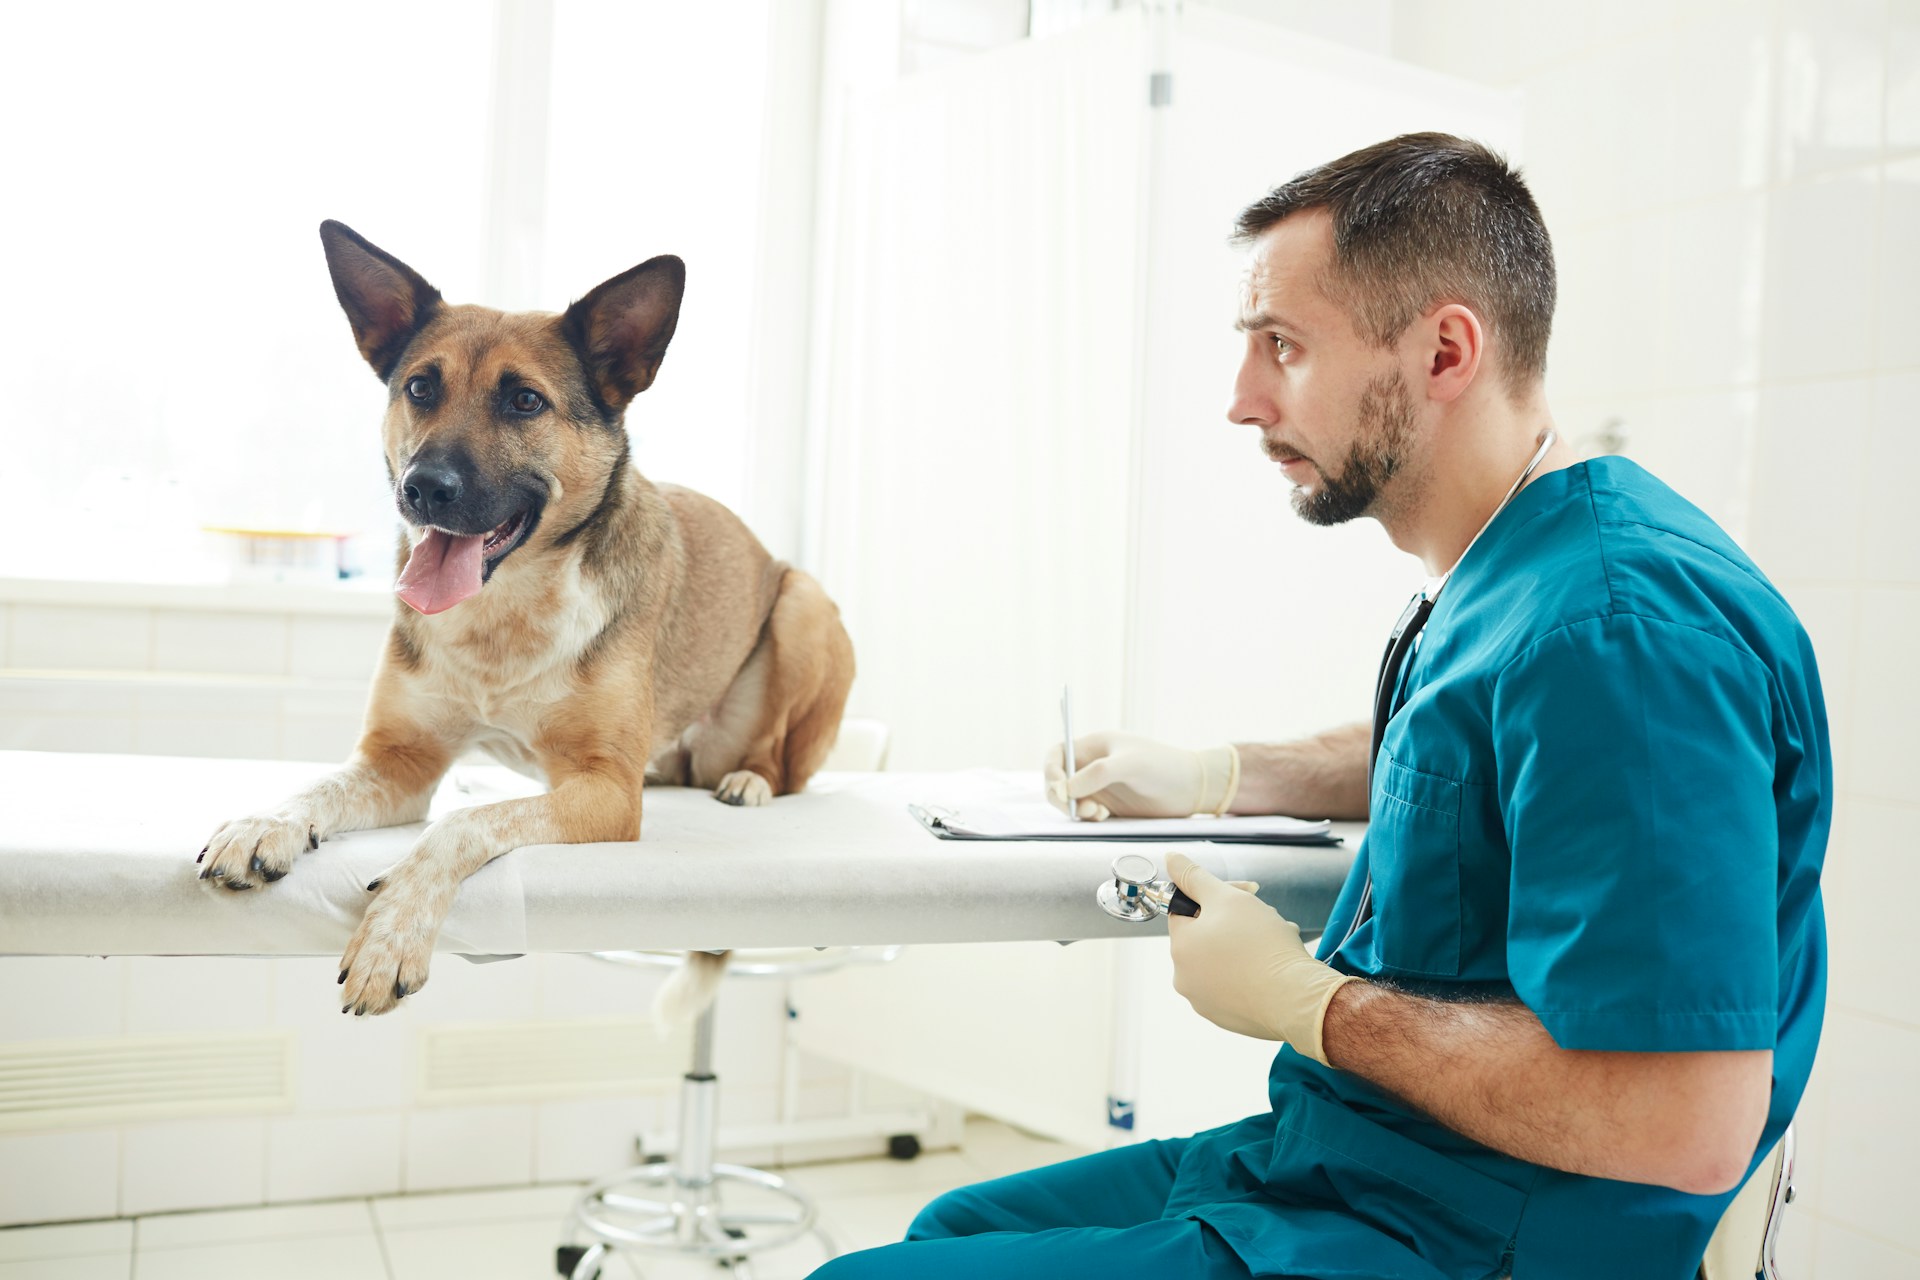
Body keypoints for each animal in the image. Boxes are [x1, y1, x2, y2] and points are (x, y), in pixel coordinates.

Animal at [196, 222, 856, 1020]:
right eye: (421, 387)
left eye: (524, 401)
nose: (422, 488)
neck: (502, 608)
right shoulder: (399, 763)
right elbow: (320, 787)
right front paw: (264, 823)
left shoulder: (609, 793)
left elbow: (463, 823)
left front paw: (394, 933)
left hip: (802, 607)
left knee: (785, 766)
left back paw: (750, 782)